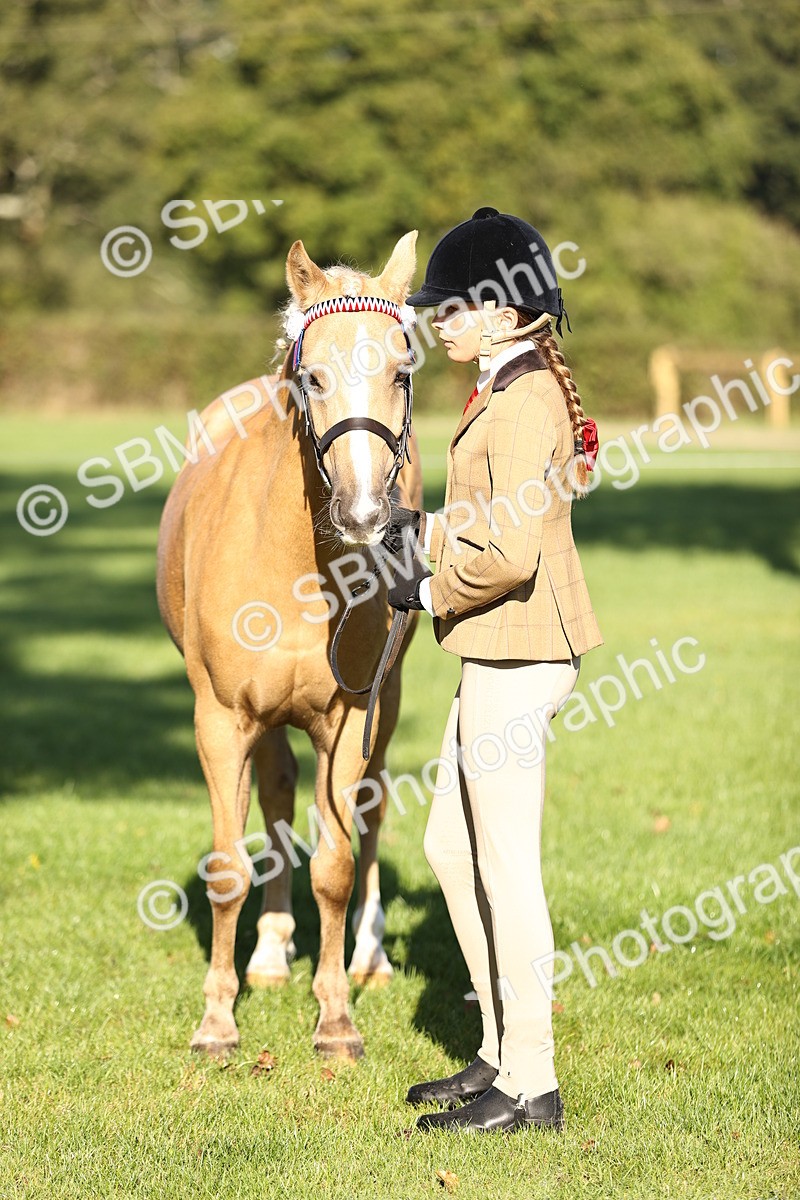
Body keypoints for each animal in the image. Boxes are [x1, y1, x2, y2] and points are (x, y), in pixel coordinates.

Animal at [156, 231, 423, 1060]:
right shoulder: (219, 719)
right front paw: (217, 1020)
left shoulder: (348, 719)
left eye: (402, 372)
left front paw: (336, 1017)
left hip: (387, 703)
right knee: (273, 792)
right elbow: (226, 868)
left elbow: (335, 865)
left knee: (370, 812)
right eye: (314, 376)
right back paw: (270, 952)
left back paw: (368, 955)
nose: (366, 511)